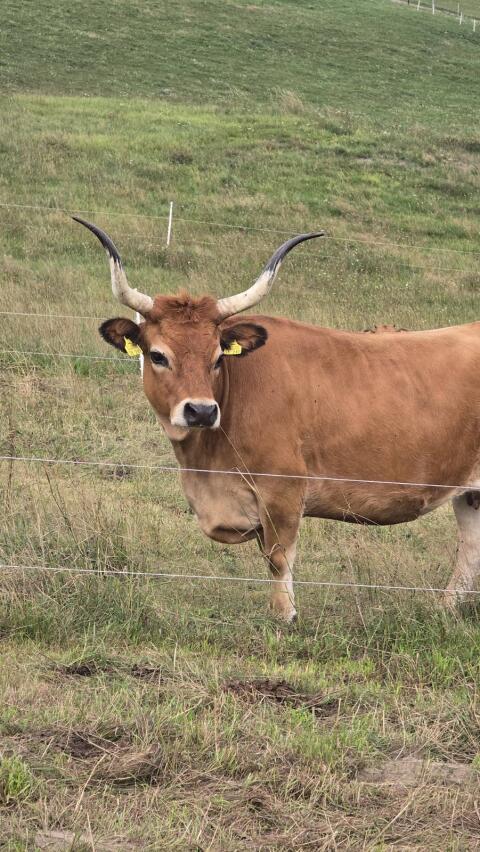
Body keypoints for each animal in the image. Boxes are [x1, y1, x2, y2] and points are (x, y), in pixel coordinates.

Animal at [74, 216, 480, 621]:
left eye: (217, 357)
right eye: (157, 355)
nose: (201, 411)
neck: (206, 464)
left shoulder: (283, 489)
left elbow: (278, 557)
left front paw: (284, 615)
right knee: (471, 548)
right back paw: (445, 609)